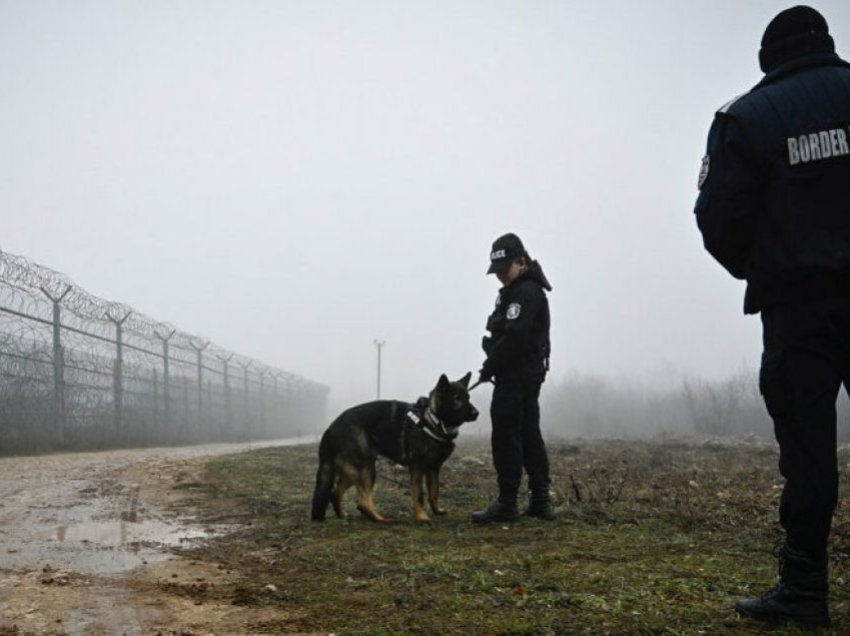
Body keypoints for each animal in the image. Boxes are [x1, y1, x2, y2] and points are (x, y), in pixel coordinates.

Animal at [310, 372, 476, 520]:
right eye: (457, 398)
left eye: (468, 397)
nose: (476, 413)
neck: (433, 418)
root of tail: (330, 428)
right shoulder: (417, 467)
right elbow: (419, 494)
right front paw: (421, 517)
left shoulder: (433, 468)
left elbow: (434, 492)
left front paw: (437, 511)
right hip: (365, 468)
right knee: (362, 501)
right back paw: (379, 518)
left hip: (352, 472)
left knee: (335, 493)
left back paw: (343, 515)